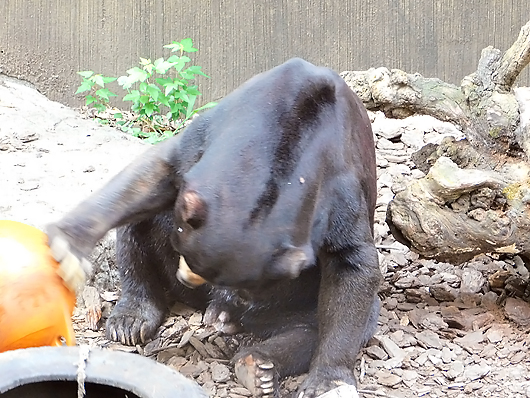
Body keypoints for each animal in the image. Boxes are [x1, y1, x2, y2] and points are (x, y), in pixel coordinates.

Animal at [48, 58, 380, 398]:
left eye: (251, 286)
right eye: (181, 247)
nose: (186, 278)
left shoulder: (338, 187)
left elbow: (351, 267)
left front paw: (327, 382)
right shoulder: (204, 136)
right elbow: (152, 173)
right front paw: (67, 250)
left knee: (316, 327)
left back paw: (254, 361)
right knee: (136, 232)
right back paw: (133, 320)